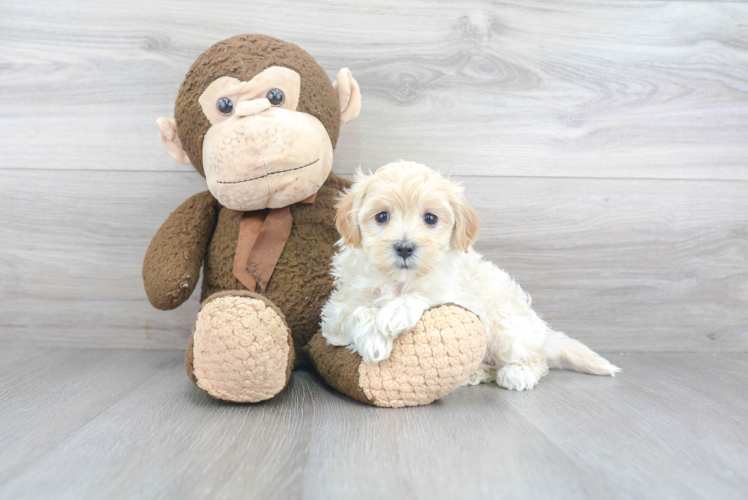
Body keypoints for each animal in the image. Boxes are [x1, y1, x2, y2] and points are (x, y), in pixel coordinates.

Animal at [322, 160, 620, 390]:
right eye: (382, 216)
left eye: (430, 218)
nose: (405, 247)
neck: (398, 281)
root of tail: (544, 334)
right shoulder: (336, 311)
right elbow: (357, 311)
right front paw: (373, 339)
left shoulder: (455, 295)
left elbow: (424, 296)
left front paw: (395, 313)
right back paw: (478, 372)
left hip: (507, 323)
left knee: (534, 359)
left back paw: (517, 373)